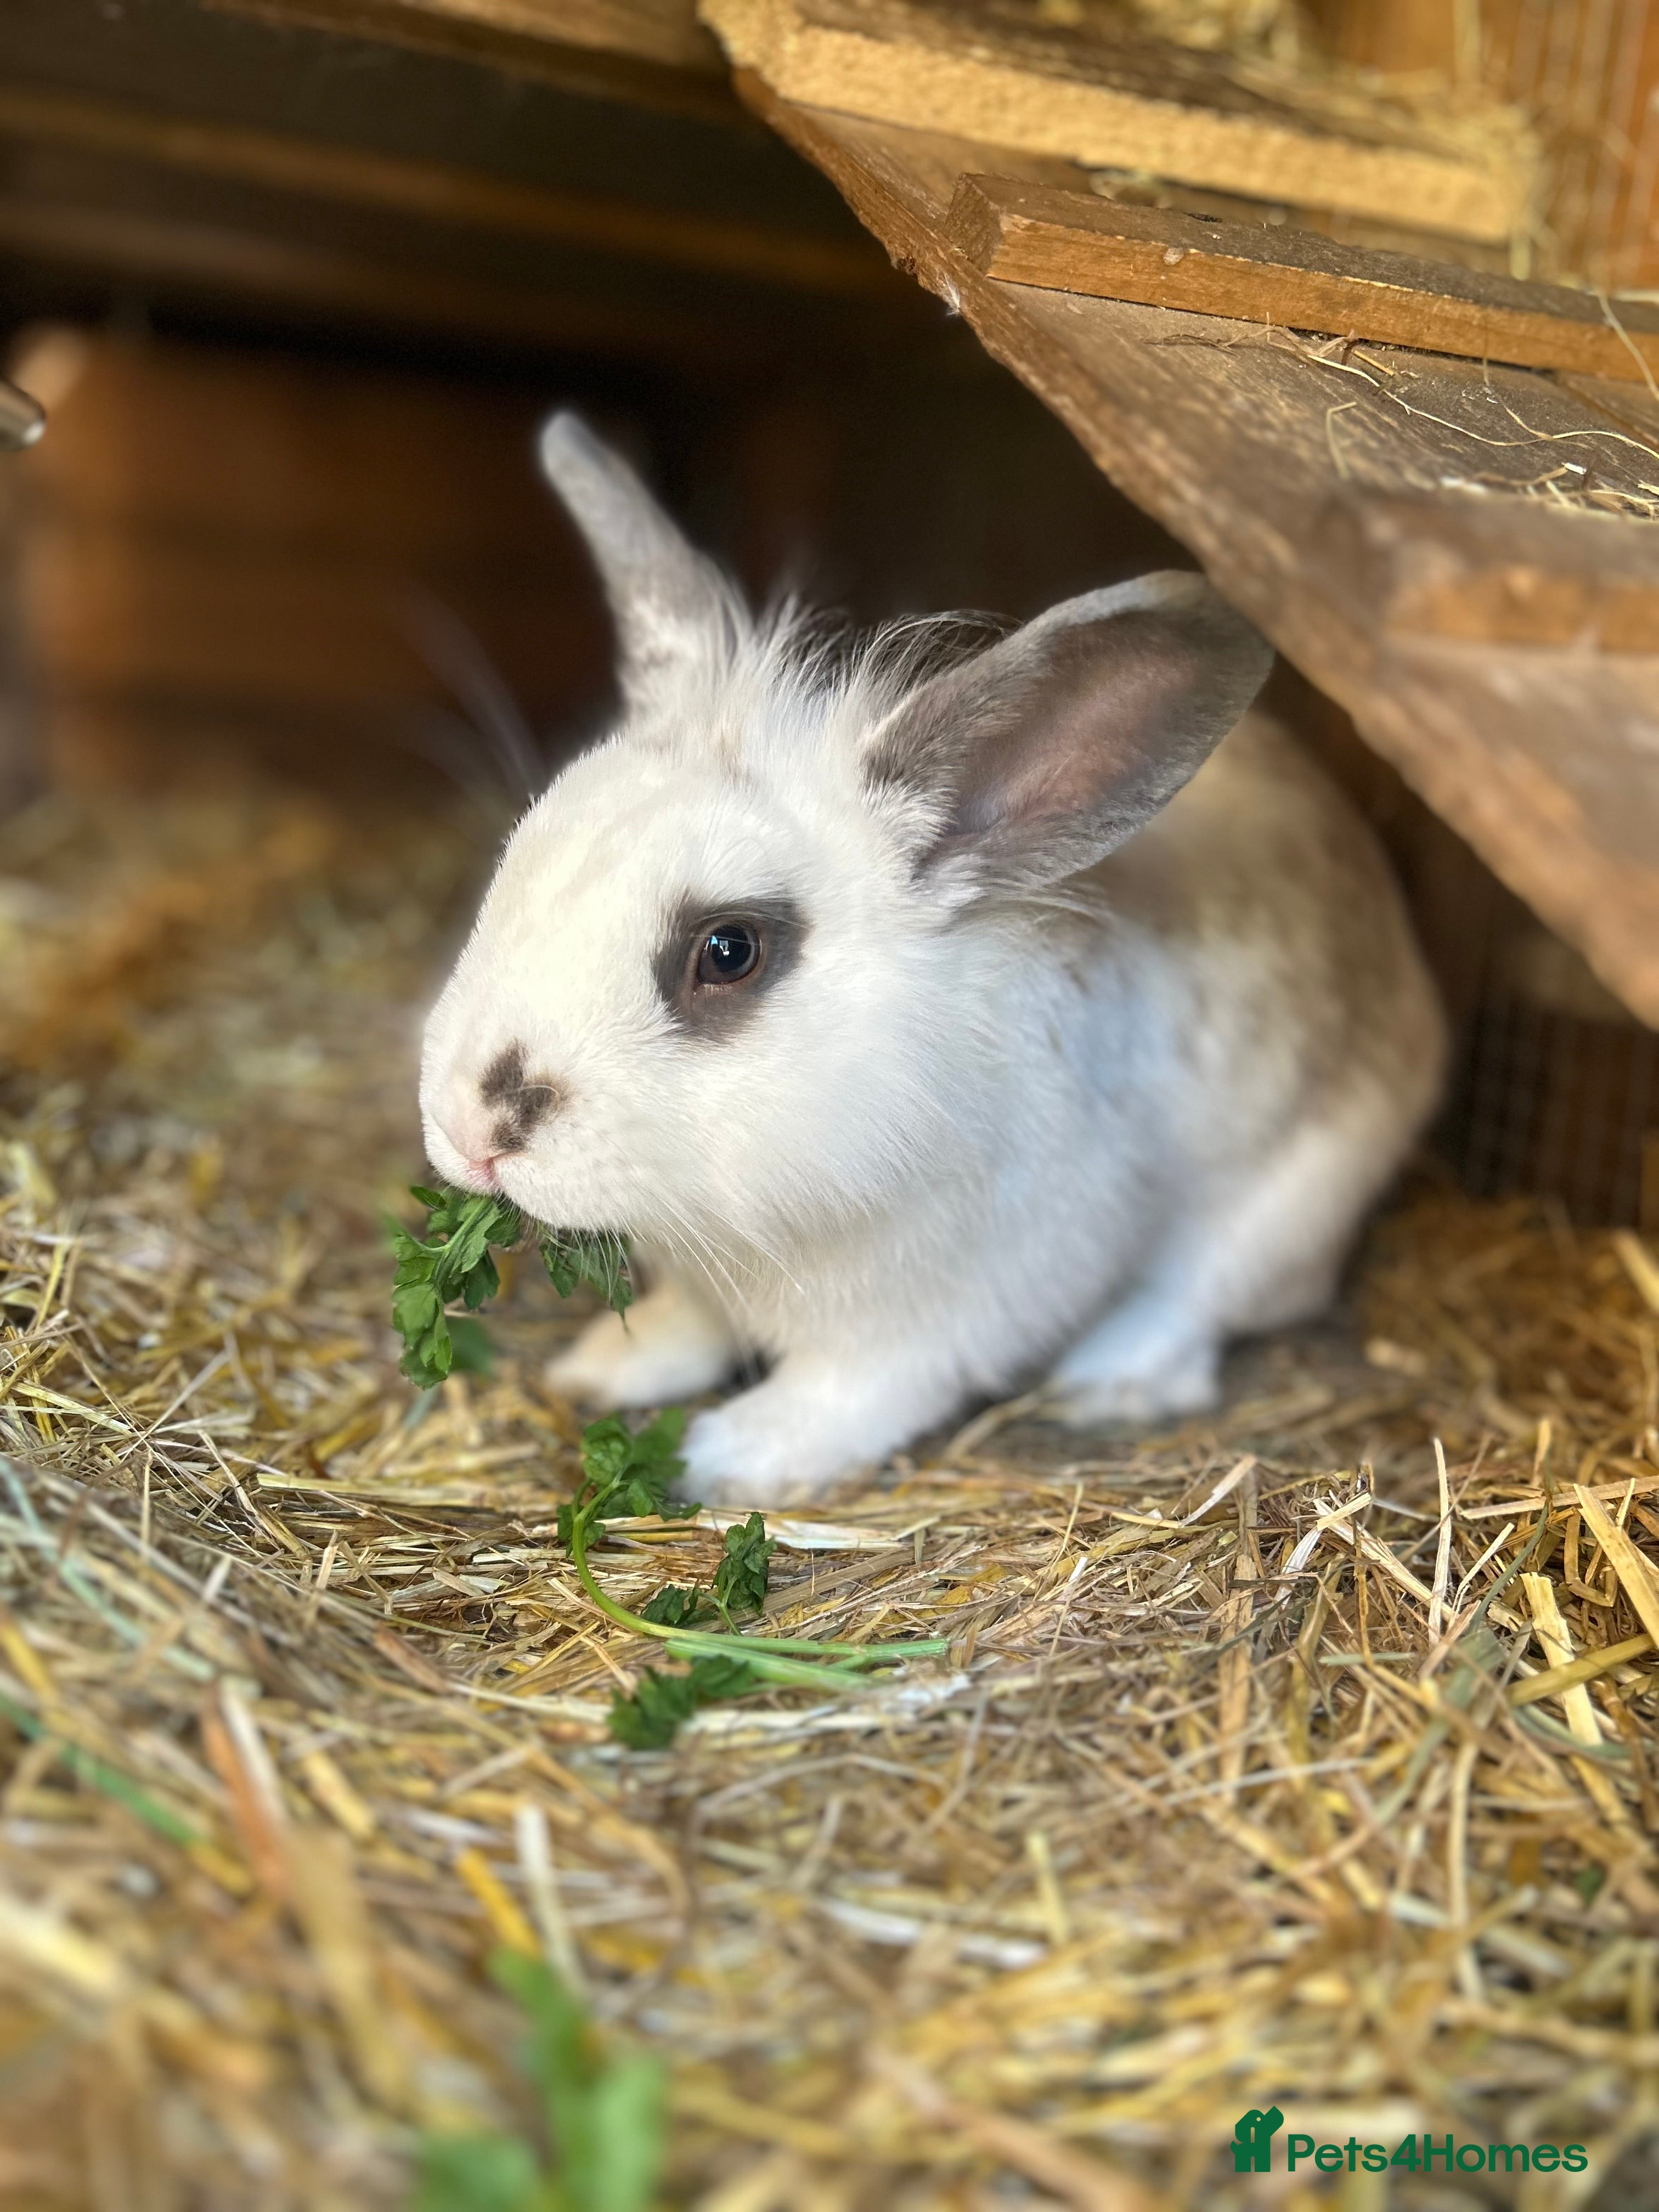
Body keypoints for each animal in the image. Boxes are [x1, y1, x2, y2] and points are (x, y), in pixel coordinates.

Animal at [420, 414, 1446, 1503]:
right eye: (521, 851)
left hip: (1292, 1201)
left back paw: (1109, 1378)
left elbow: (855, 1394)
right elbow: (684, 1329)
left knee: (1214, 1299)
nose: (472, 1125)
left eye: (728, 951)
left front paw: (724, 1456)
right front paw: (599, 1372)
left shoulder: (946, 1315)